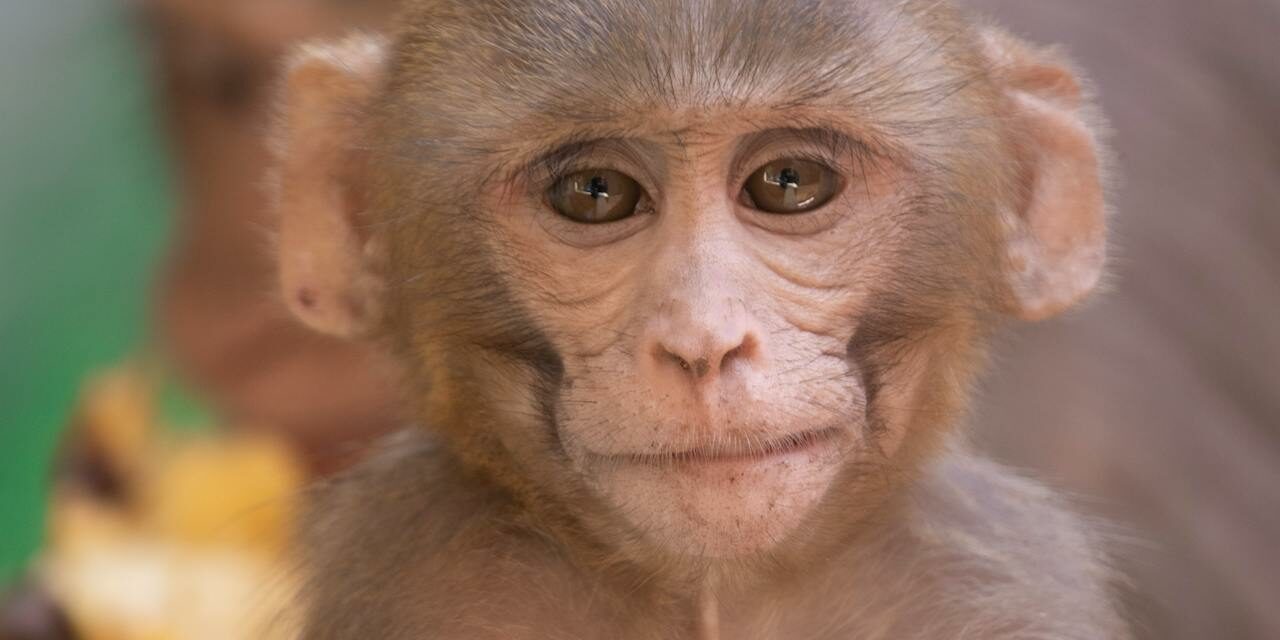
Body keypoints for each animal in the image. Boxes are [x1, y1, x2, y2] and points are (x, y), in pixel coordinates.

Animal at [268, 0, 1129, 637]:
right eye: (595, 192)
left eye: (789, 181)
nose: (703, 345)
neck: (716, 598)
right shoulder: (418, 574)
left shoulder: (995, 581)